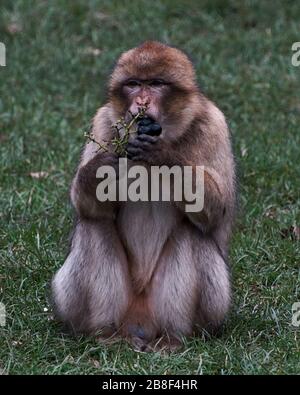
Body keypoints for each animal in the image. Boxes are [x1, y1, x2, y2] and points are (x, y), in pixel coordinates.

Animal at [52, 41, 238, 352]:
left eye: (156, 84)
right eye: (133, 84)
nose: (140, 102)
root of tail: (140, 325)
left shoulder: (213, 125)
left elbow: (219, 209)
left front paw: (162, 154)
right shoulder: (104, 121)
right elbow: (87, 204)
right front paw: (101, 168)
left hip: (211, 310)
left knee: (192, 232)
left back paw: (174, 337)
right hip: (80, 303)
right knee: (94, 225)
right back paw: (105, 334)